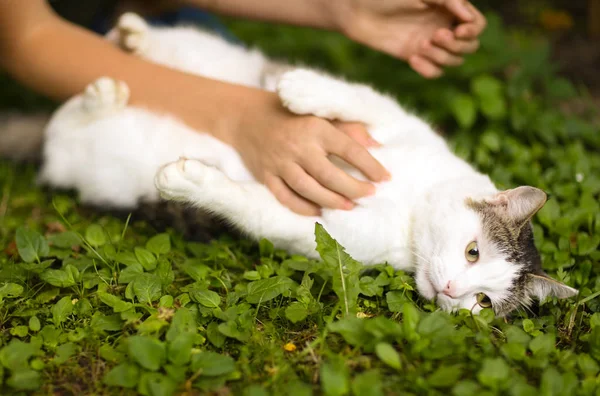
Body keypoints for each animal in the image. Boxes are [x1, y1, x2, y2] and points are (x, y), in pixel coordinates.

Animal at [2, 12, 580, 316]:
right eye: (472, 250)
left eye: (483, 302)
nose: (454, 292)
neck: (411, 209)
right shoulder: (391, 120)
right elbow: (356, 98)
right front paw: (302, 89)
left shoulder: (313, 231)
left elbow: (247, 204)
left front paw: (191, 181)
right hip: (214, 58)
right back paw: (133, 41)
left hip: (87, 164)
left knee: (63, 129)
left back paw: (102, 95)